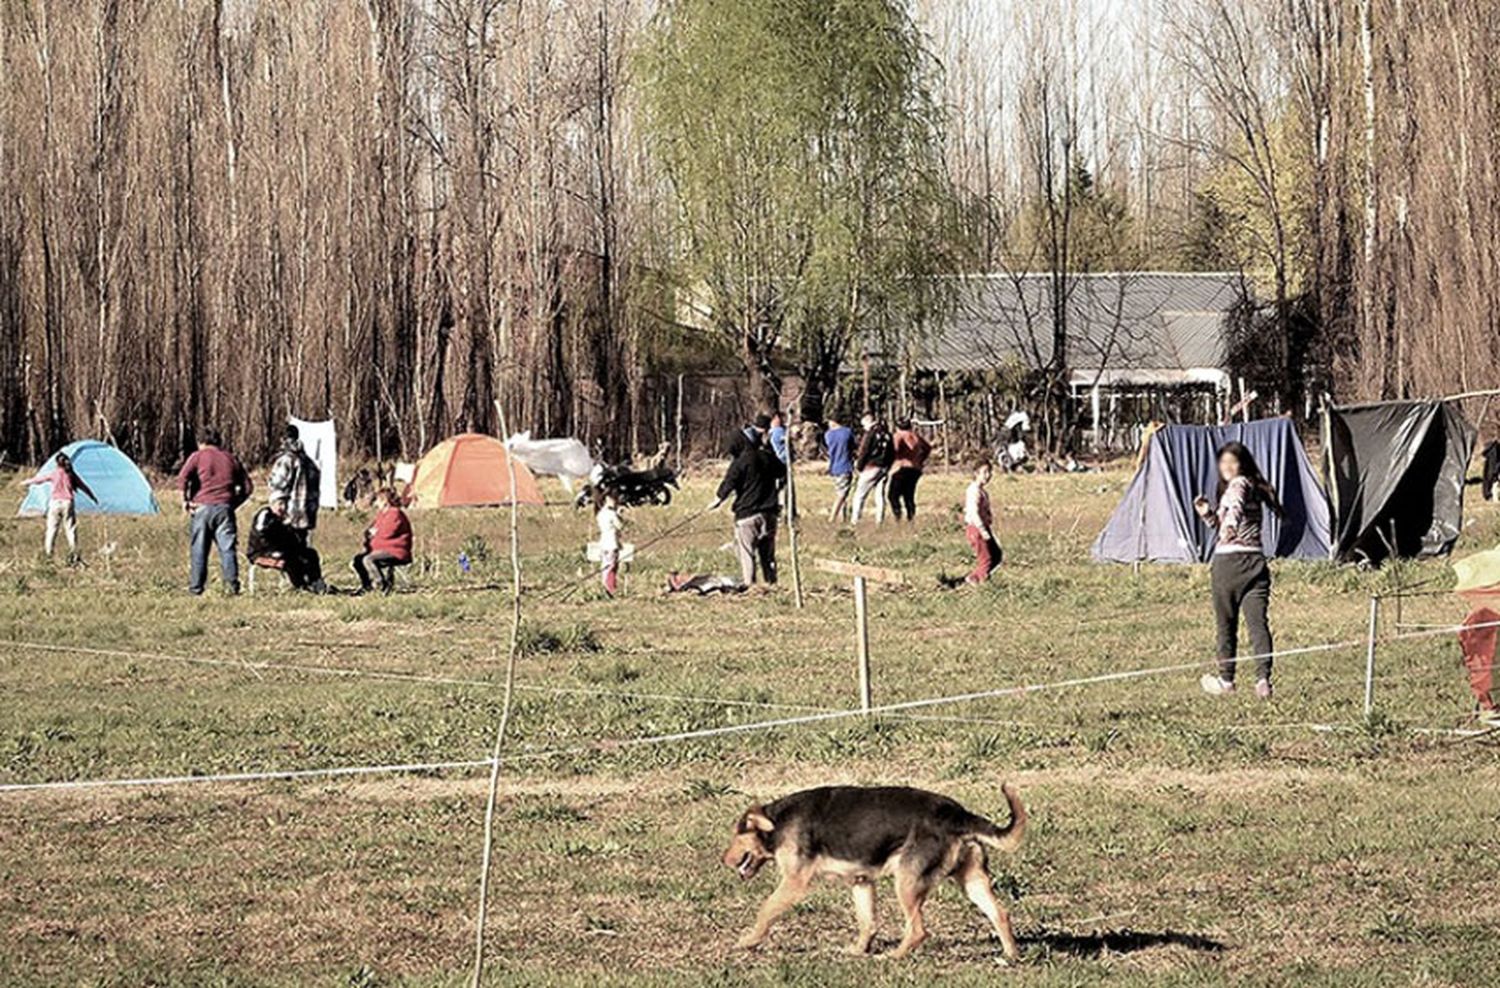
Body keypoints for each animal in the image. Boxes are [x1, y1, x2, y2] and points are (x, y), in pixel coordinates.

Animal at [720, 785, 1026, 959]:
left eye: (735, 836)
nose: (722, 859)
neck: (777, 822)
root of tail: (958, 814)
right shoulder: (861, 881)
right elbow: (867, 923)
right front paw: (858, 951)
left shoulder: (794, 883)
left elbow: (765, 912)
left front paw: (747, 941)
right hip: (972, 881)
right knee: (1001, 914)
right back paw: (1010, 956)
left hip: (906, 883)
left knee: (918, 930)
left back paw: (893, 956)